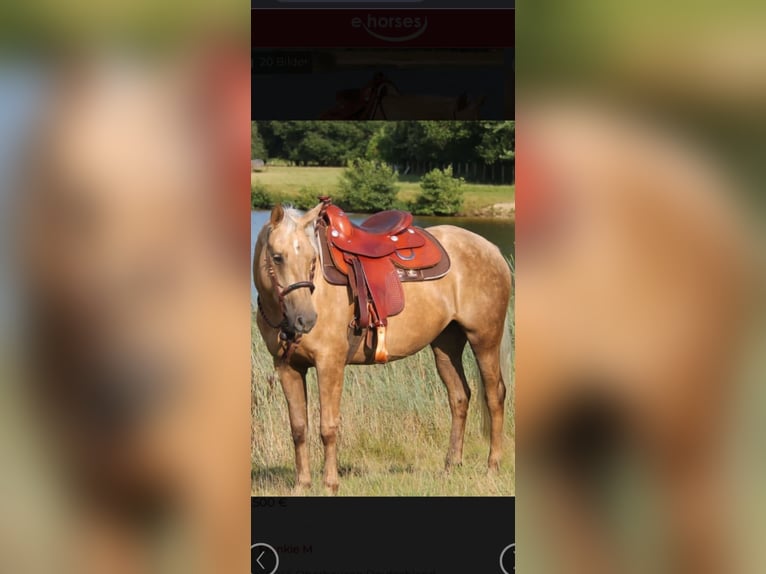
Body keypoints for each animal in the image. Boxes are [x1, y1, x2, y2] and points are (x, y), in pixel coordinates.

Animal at [253, 203, 512, 493]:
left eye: (312, 259)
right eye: (277, 257)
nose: (305, 320)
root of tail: (491, 249)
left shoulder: (329, 364)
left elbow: (328, 427)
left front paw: (330, 484)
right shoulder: (287, 367)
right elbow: (298, 428)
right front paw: (302, 485)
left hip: (485, 339)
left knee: (494, 395)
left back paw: (492, 467)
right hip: (446, 344)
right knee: (459, 397)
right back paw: (450, 466)